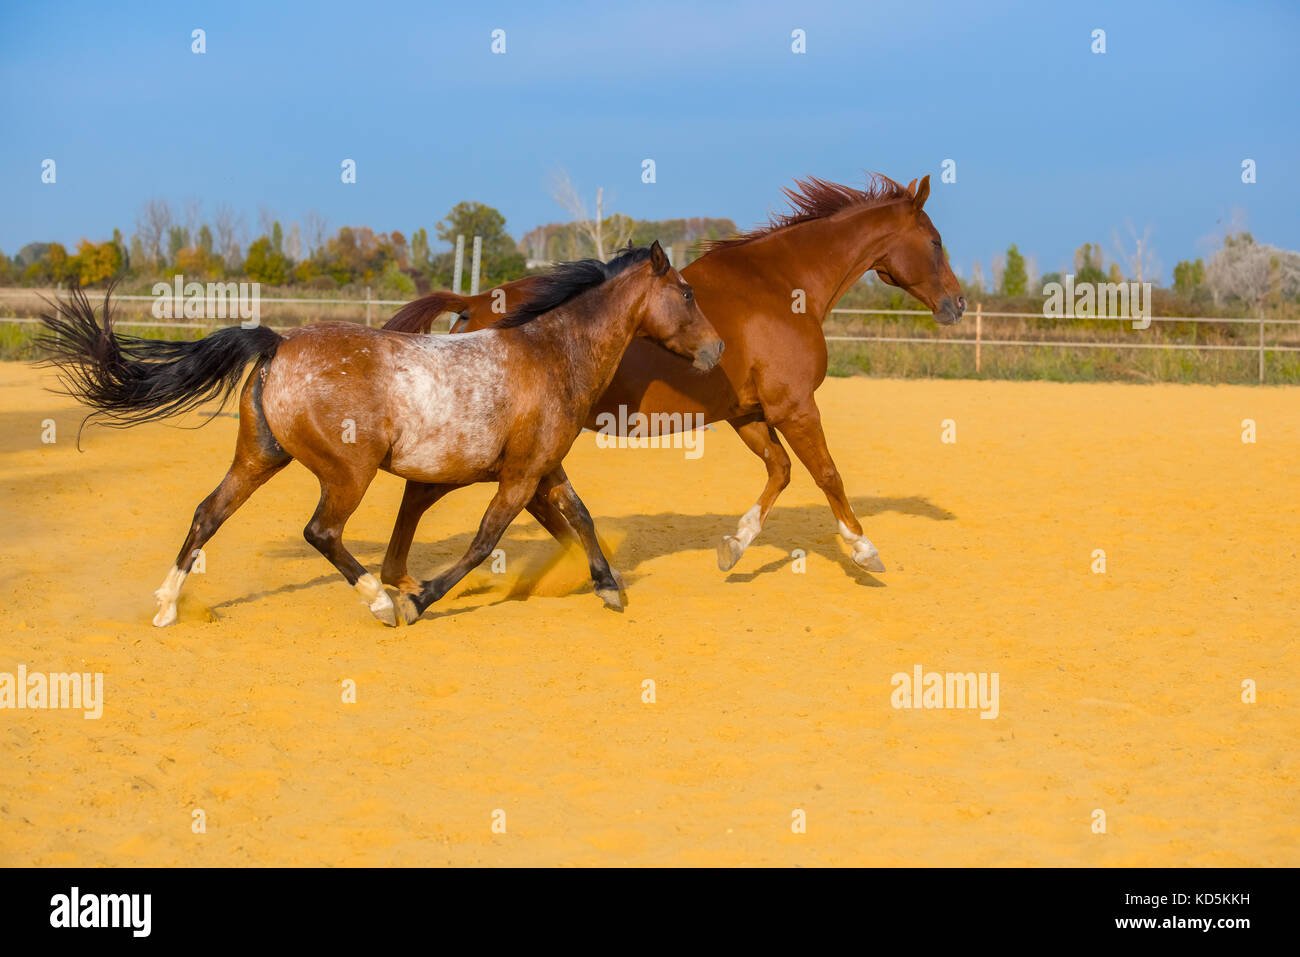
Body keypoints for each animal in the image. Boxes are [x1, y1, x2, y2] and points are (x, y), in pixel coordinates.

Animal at [40, 243, 722, 624]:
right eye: (687, 293)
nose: (716, 349)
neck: (551, 353)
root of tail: (279, 342)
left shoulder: (544, 469)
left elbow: (579, 516)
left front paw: (609, 587)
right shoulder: (521, 476)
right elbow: (483, 542)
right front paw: (417, 600)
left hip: (259, 458)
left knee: (209, 513)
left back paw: (166, 606)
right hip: (349, 472)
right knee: (321, 532)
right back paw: (379, 599)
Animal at [379, 175, 961, 587]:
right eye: (935, 241)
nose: (956, 304)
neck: (782, 287)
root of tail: (474, 301)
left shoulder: (749, 415)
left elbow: (780, 472)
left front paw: (733, 548)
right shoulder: (795, 407)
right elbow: (828, 475)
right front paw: (864, 551)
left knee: (532, 497)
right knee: (483, 494)